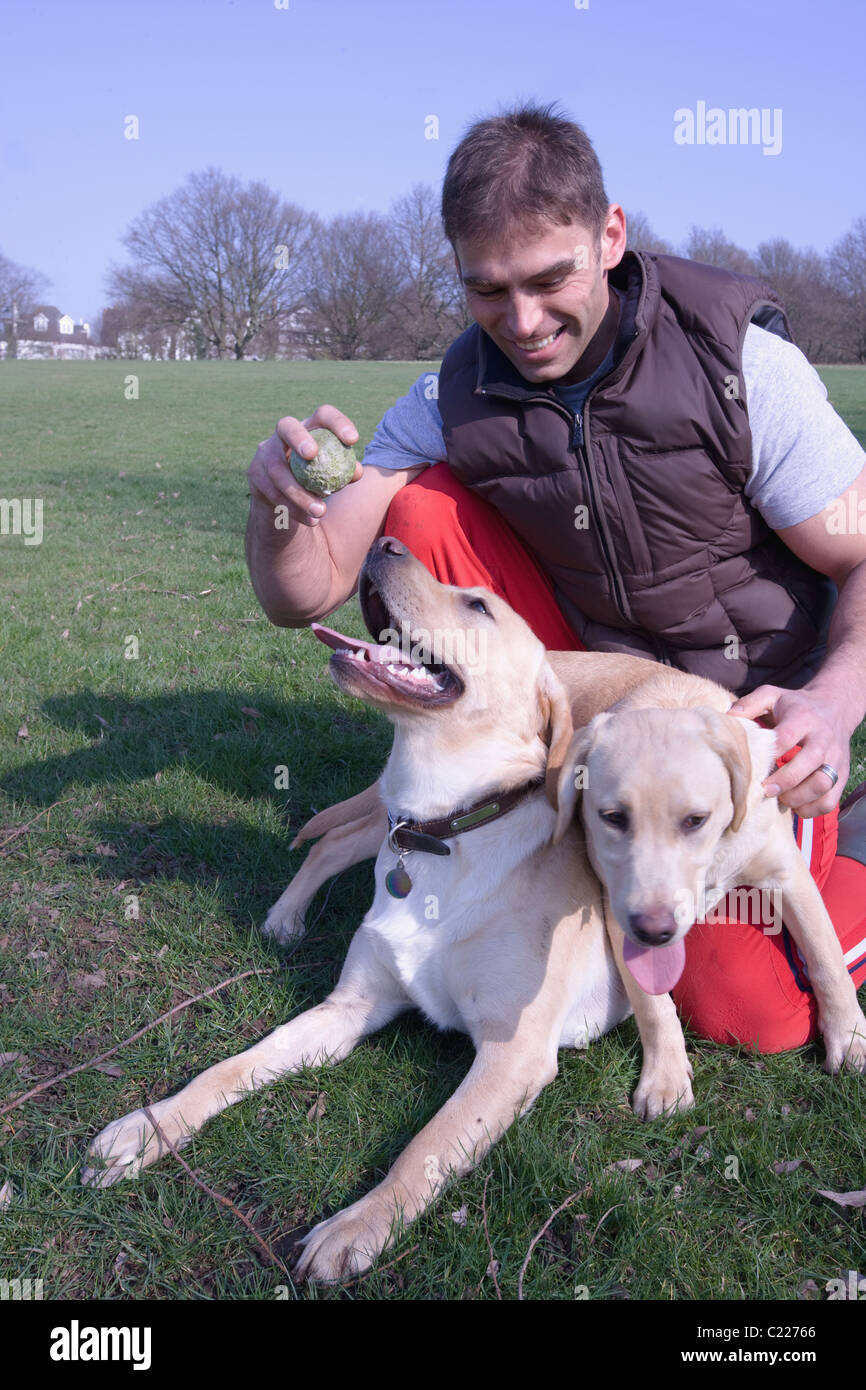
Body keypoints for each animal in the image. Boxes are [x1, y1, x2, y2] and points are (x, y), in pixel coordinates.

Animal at [86, 539, 650, 1278]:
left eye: (479, 605)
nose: (385, 545)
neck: (445, 833)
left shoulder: (513, 1055)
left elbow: (426, 1148)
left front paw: (359, 1224)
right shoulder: (348, 1008)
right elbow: (232, 1066)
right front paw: (151, 1127)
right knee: (332, 840)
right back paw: (286, 916)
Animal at [556, 667, 866, 1100]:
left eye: (695, 820)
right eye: (613, 817)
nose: (654, 932)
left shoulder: (788, 874)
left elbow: (827, 957)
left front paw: (850, 1036)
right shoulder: (617, 907)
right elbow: (653, 1004)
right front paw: (665, 1080)